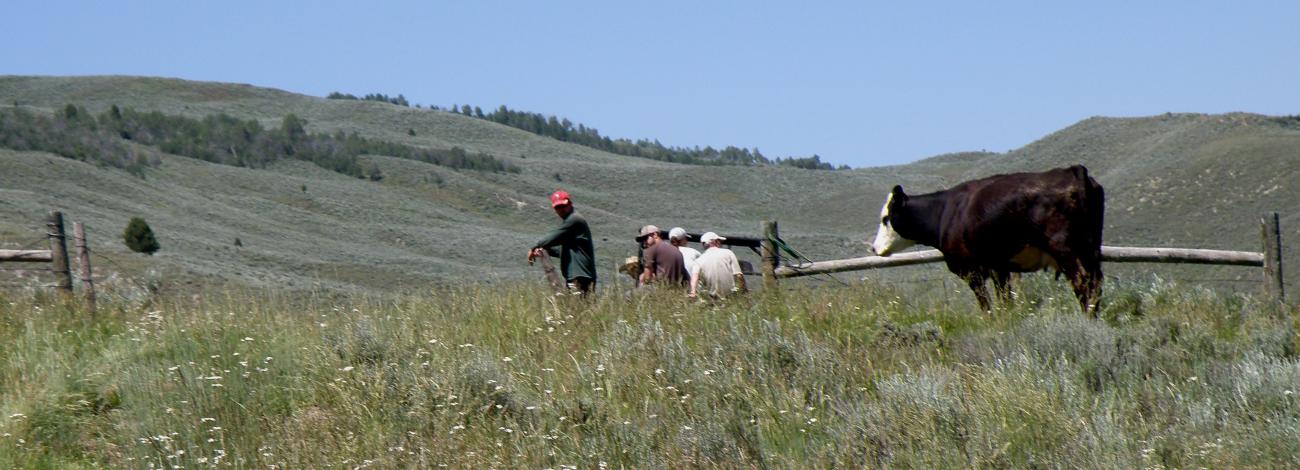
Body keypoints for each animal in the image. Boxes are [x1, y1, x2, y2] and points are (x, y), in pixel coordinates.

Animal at [870, 165, 1105, 316]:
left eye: (885, 218)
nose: (874, 248)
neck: (945, 212)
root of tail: (1072, 171)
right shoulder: (999, 267)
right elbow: (1005, 300)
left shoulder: (972, 271)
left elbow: (986, 304)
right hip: (1091, 248)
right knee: (1096, 283)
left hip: (1064, 248)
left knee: (1081, 281)